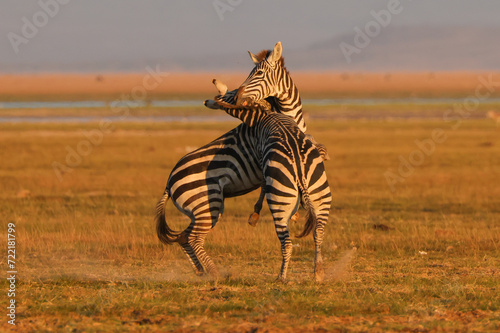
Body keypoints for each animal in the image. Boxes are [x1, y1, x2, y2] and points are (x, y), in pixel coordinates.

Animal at [205, 80, 330, 280]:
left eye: (228, 93)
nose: (206, 101)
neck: (263, 116)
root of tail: (300, 173)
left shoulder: (261, 155)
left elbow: (263, 184)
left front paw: (254, 214)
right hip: (320, 195)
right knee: (318, 233)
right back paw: (318, 272)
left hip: (281, 202)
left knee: (286, 243)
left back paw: (281, 277)